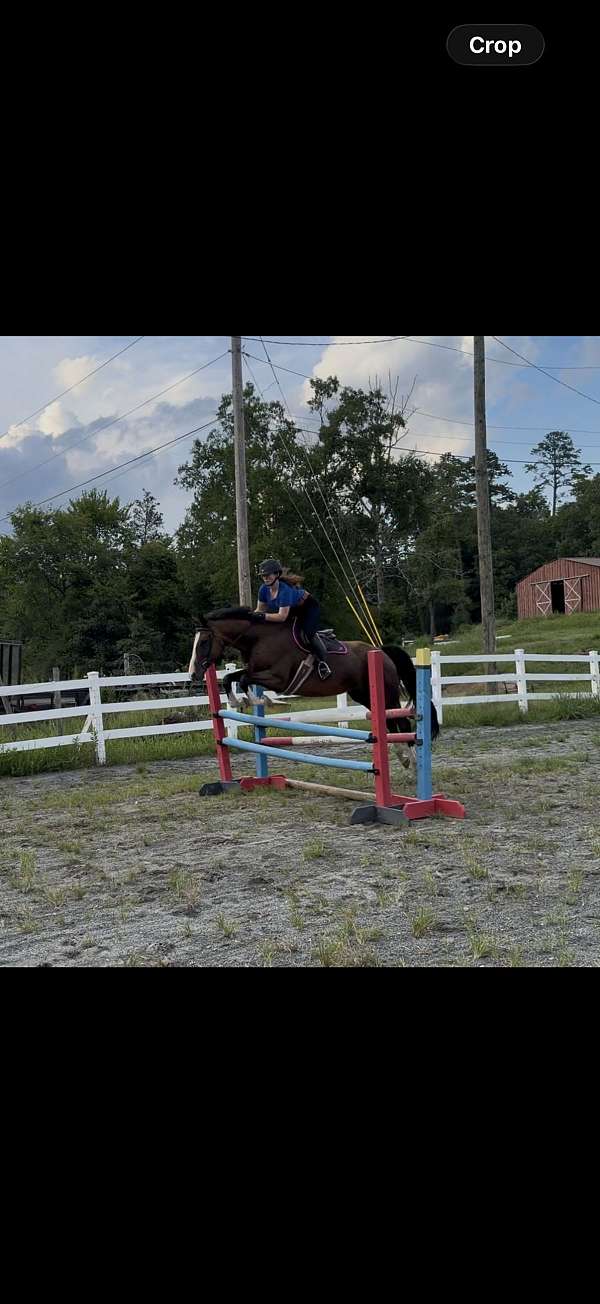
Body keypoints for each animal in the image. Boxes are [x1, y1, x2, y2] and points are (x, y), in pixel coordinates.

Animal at [188, 606, 438, 765]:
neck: (259, 639)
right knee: (389, 722)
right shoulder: (256, 671)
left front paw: (259, 699)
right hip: (363, 694)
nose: (193, 674)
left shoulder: (279, 679)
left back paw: (412, 760)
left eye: (203, 642)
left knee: (401, 721)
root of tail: (380, 651)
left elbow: (243, 680)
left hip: (386, 693)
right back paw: (403, 757)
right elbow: (230, 678)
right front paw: (236, 700)